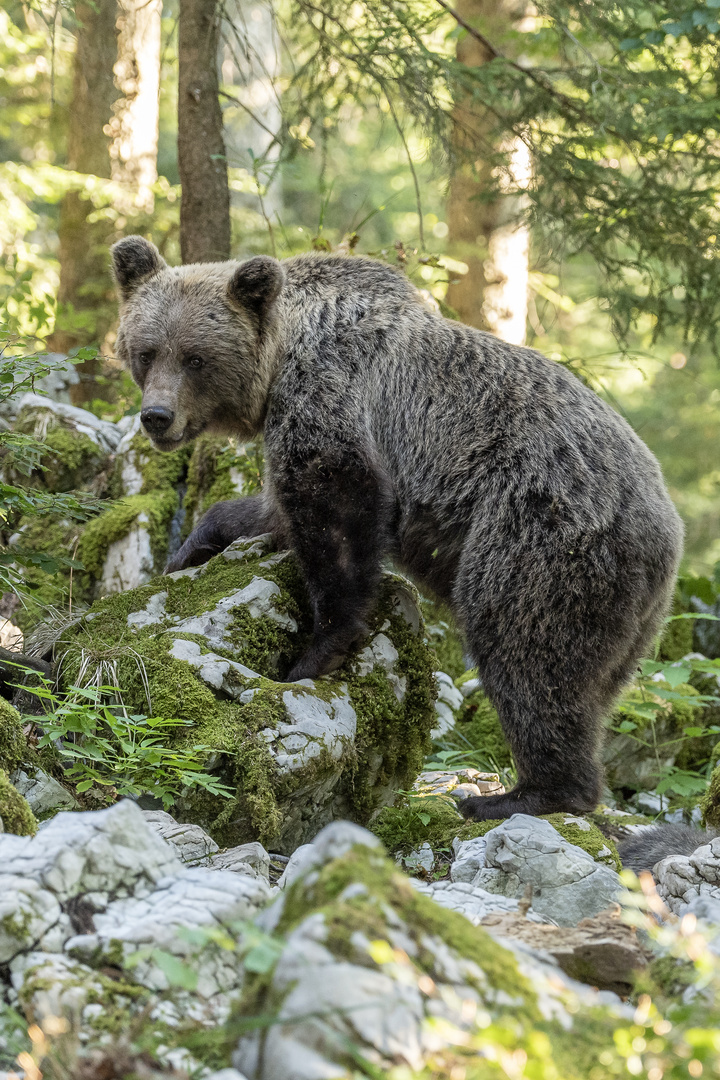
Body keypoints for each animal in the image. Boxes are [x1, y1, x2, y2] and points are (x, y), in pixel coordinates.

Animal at [111, 236, 682, 820]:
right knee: (589, 687)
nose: (156, 416)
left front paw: (313, 653)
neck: (279, 363)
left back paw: (514, 795)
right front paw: (192, 548)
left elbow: (337, 508)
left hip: (541, 535)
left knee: (525, 648)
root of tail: (665, 523)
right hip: (630, 620)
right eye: (146, 351)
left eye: (195, 357)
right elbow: (274, 512)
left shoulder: (332, 394)